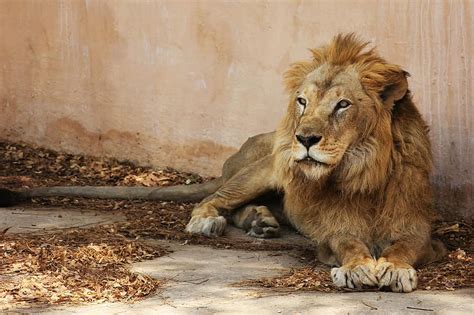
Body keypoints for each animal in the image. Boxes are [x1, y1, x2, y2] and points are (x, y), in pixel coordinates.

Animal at [0, 33, 444, 292]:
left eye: (342, 105)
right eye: (303, 101)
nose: (304, 138)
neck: (360, 172)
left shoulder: (419, 230)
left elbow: (404, 247)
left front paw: (394, 268)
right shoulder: (331, 231)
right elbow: (349, 244)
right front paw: (356, 269)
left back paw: (261, 222)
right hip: (264, 168)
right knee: (215, 200)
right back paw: (209, 222)